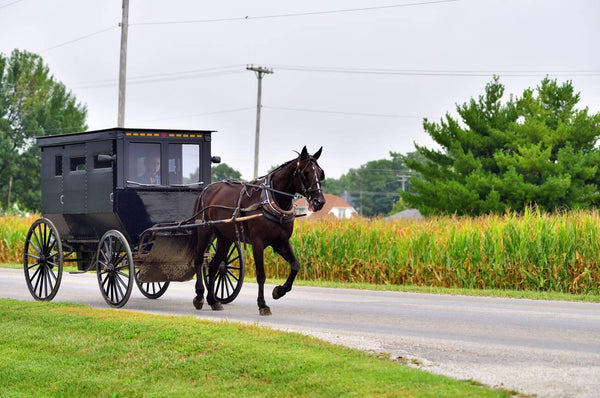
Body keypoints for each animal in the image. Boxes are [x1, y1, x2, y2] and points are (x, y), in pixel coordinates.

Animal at [189, 145, 326, 314]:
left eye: (320, 173)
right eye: (305, 172)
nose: (319, 201)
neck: (271, 200)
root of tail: (206, 189)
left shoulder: (281, 242)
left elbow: (295, 265)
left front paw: (279, 291)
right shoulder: (258, 243)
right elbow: (261, 275)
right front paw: (262, 304)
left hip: (225, 237)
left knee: (214, 265)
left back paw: (213, 300)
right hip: (205, 231)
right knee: (199, 259)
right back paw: (200, 296)